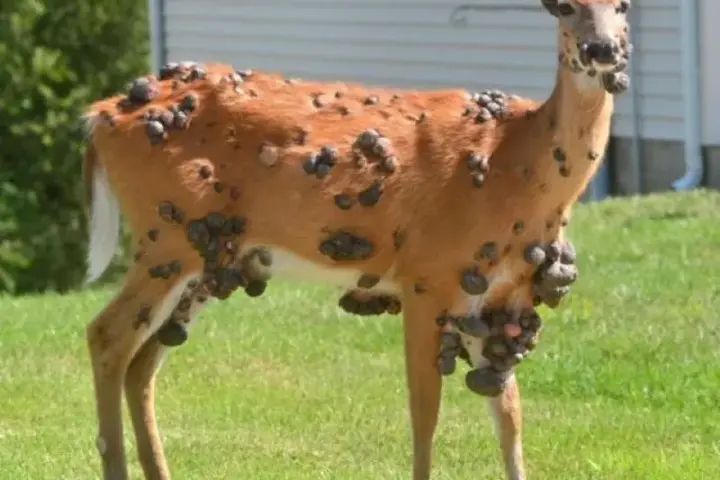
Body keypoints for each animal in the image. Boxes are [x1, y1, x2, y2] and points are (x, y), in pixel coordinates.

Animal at [80, 1, 632, 479]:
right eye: (566, 6)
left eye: (623, 5)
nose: (602, 49)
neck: (515, 163)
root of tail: (100, 115)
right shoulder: (427, 278)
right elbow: (426, 415)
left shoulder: (499, 299)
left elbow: (510, 419)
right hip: (166, 238)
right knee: (107, 335)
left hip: (211, 259)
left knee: (142, 364)